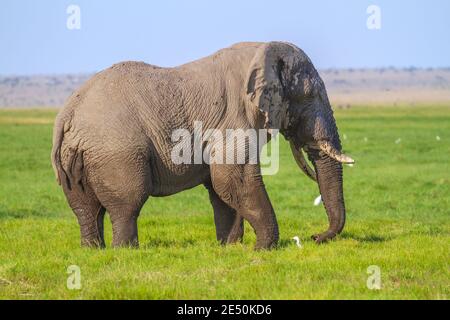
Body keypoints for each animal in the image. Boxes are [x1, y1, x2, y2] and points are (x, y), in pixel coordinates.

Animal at [51, 41, 356, 249]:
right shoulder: (234, 118)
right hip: (117, 152)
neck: (263, 52)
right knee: (128, 204)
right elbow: (231, 178)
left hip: (77, 157)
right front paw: (264, 248)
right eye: (310, 96)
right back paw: (125, 251)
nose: (315, 236)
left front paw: (229, 247)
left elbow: (221, 186)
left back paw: (94, 251)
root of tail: (68, 114)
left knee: (85, 208)